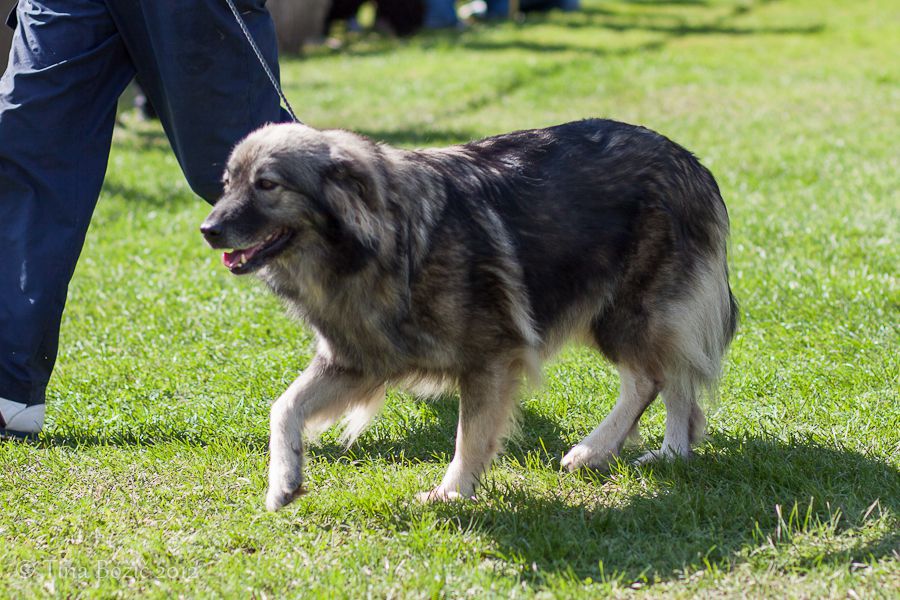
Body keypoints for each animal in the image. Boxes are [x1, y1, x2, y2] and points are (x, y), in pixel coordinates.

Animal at [202, 120, 740, 510]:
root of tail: (689, 161)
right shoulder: (358, 360)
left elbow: (471, 435)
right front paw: (284, 479)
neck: (385, 243)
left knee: (658, 377)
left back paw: (631, 450)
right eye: (227, 184)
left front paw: (451, 494)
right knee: (663, 378)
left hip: (628, 312)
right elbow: (284, 406)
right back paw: (642, 451)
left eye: (267, 184)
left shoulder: (489, 359)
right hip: (615, 312)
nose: (208, 229)